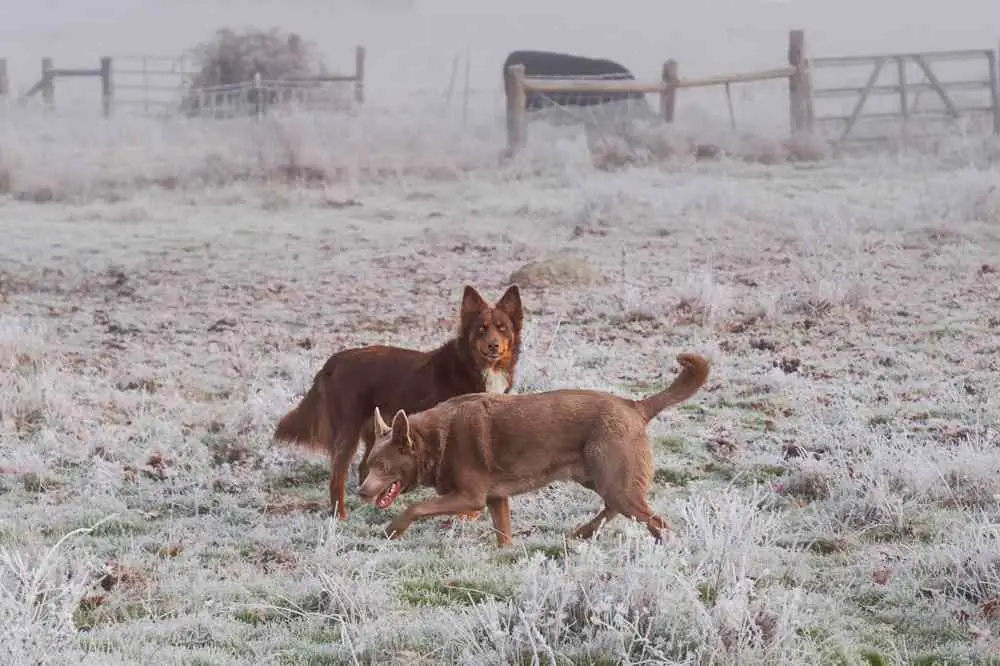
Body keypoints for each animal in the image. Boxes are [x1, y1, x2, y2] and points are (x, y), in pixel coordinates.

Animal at [274, 284, 524, 520]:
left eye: (502, 328)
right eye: (482, 329)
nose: (493, 345)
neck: (474, 365)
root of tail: (334, 360)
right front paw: (466, 515)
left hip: (377, 429)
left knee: (365, 468)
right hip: (348, 433)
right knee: (337, 477)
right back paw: (340, 517)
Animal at [356, 350, 708, 544]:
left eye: (383, 467)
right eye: (368, 465)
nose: (360, 491)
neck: (436, 439)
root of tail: (635, 405)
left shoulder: (470, 497)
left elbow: (415, 507)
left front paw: (392, 530)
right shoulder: (496, 498)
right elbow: (503, 535)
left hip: (614, 478)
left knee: (653, 519)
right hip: (598, 477)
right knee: (615, 508)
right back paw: (583, 532)